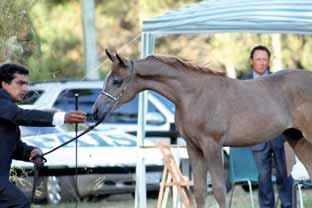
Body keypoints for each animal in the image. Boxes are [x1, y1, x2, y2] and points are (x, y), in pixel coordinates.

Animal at [92, 49, 312, 208]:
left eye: (117, 81)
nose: (96, 111)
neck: (193, 95)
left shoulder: (212, 146)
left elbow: (219, 191)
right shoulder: (194, 147)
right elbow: (198, 191)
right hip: (297, 139)